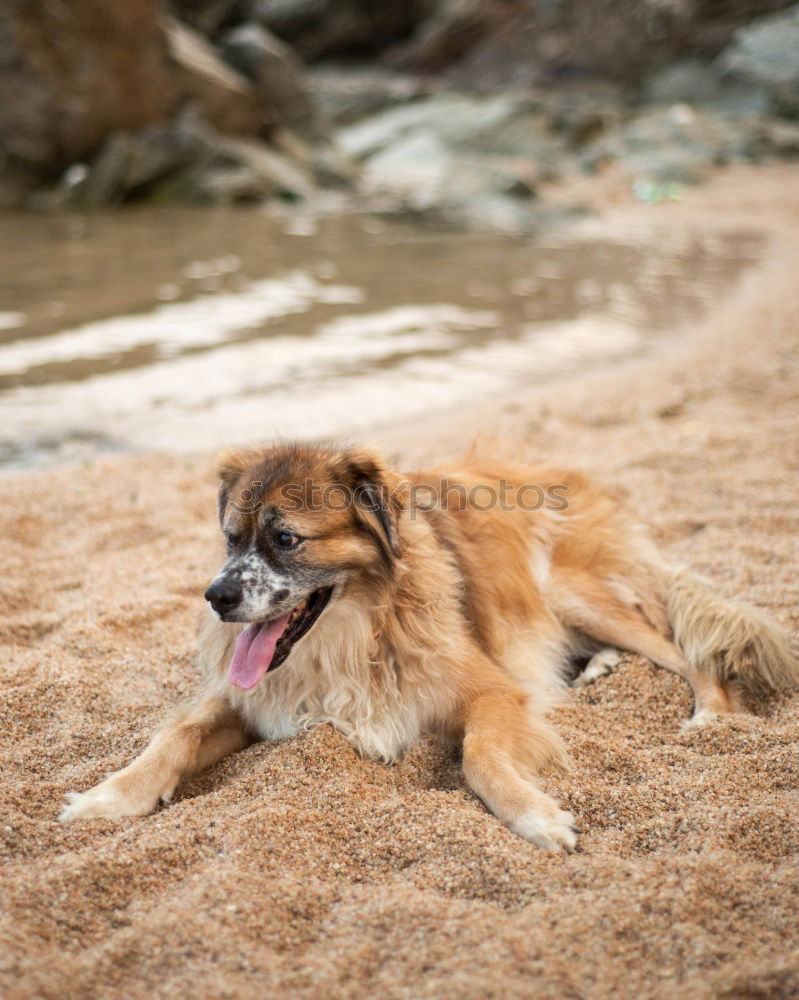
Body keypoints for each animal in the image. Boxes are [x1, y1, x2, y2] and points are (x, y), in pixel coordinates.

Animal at [62, 442, 799, 848]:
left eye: (285, 538)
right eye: (229, 539)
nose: (215, 598)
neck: (353, 631)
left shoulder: (491, 691)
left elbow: (481, 757)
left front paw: (534, 817)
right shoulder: (252, 701)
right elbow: (174, 737)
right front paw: (109, 796)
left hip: (568, 589)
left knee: (681, 649)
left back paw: (707, 712)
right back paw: (595, 668)